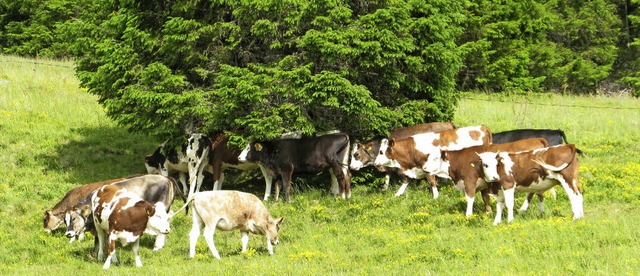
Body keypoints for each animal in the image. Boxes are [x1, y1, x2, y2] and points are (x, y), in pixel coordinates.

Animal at [420, 138, 552, 222]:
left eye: (435, 158)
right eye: (428, 157)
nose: (424, 168)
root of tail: (536, 139)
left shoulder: (469, 182)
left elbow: (470, 199)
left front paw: (468, 215)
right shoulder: (485, 184)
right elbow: (485, 198)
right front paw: (488, 213)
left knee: (532, 193)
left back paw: (523, 209)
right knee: (539, 193)